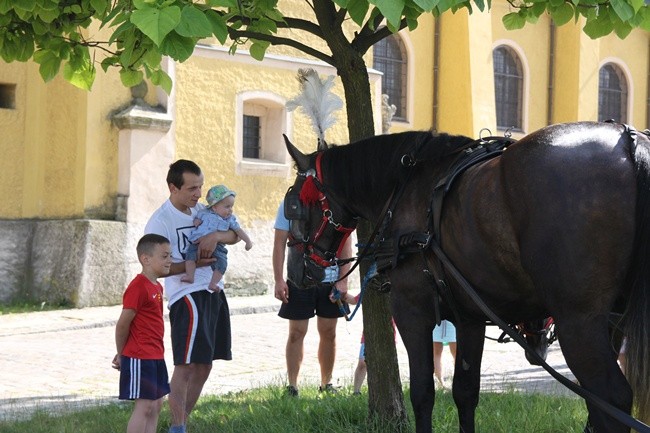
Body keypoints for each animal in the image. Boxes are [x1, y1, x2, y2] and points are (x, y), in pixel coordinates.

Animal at [282, 121, 648, 432]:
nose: (295, 272)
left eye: (293, 204)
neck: (408, 187)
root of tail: (629, 139)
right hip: (611, 322)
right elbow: (466, 392)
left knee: (612, 399)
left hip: (579, 323)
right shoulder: (469, 318)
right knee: (599, 406)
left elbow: (422, 393)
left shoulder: (412, 312)